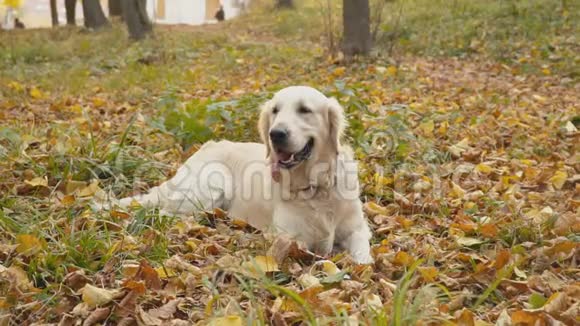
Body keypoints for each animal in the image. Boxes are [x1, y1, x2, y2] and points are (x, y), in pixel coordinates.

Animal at [110, 86, 372, 262]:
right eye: (275, 111)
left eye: (304, 110)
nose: (275, 134)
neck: (316, 185)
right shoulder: (289, 238)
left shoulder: (358, 229)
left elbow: (363, 256)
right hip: (213, 182)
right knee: (167, 213)